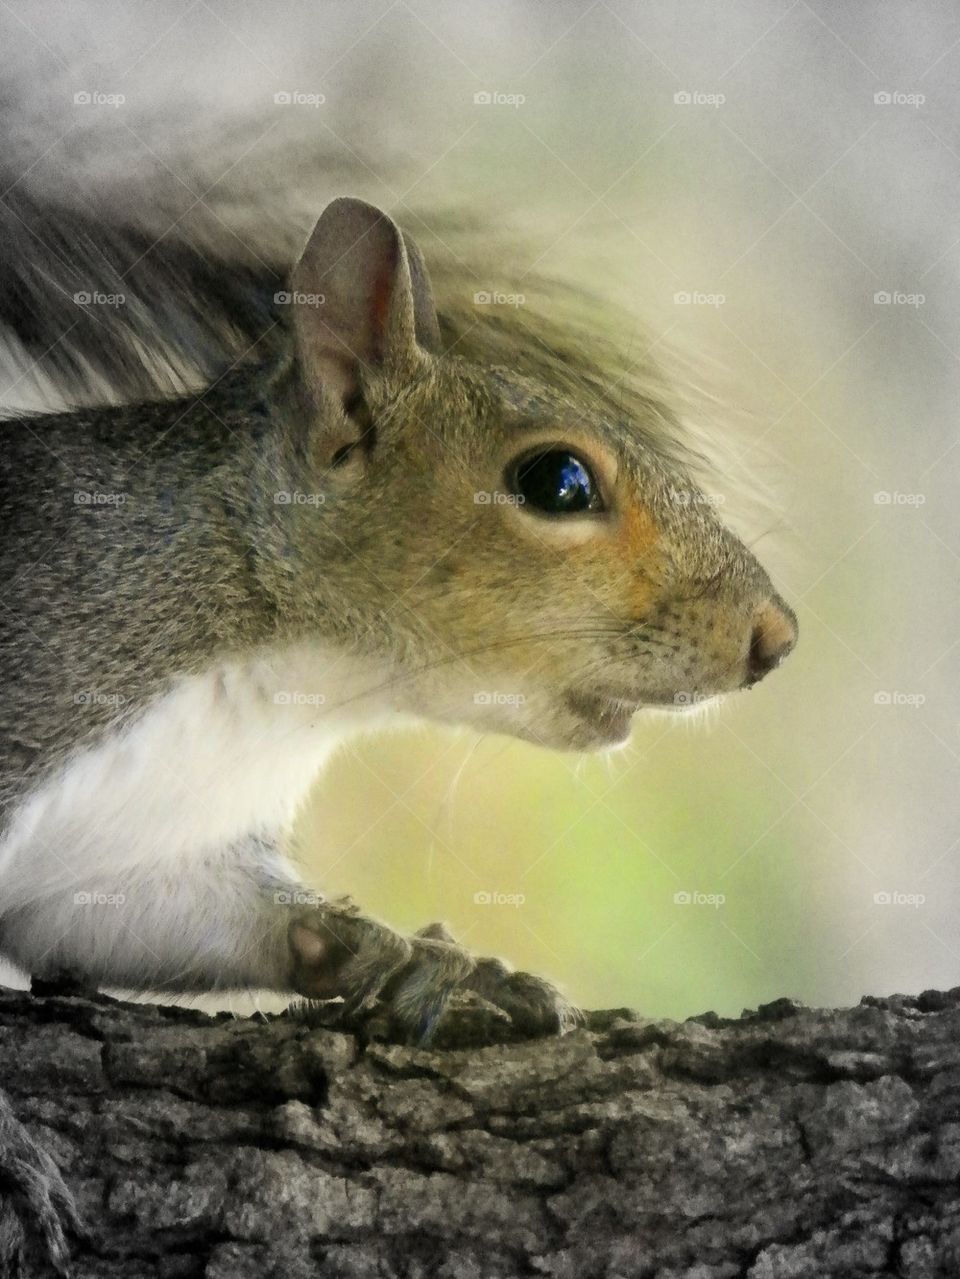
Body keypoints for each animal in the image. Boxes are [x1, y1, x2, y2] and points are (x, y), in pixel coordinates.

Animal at [0, 195, 796, 1271]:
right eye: (557, 481)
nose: (776, 637)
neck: (284, 685)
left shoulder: (134, 854)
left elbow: (173, 920)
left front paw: (423, 965)